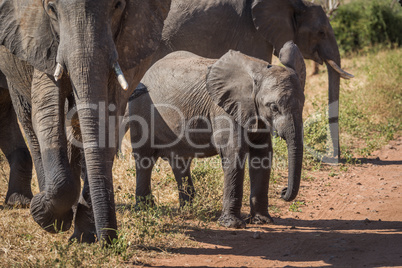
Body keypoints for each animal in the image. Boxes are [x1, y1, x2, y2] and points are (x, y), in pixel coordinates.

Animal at [0, 0, 171, 244]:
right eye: (51, 8)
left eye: (118, 6)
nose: (110, 240)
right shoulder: (43, 44)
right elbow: (46, 110)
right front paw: (46, 214)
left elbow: (108, 118)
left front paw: (84, 236)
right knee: (27, 115)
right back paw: (32, 203)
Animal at [130, 41, 306, 228]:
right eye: (273, 107)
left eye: (303, 104)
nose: (283, 191)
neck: (257, 71)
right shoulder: (224, 110)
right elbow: (234, 153)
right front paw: (232, 225)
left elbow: (262, 155)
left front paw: (262, 221)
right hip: (139, 111)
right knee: (144, 159)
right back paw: (145, 209)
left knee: (180, 161)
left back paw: (188, 208)